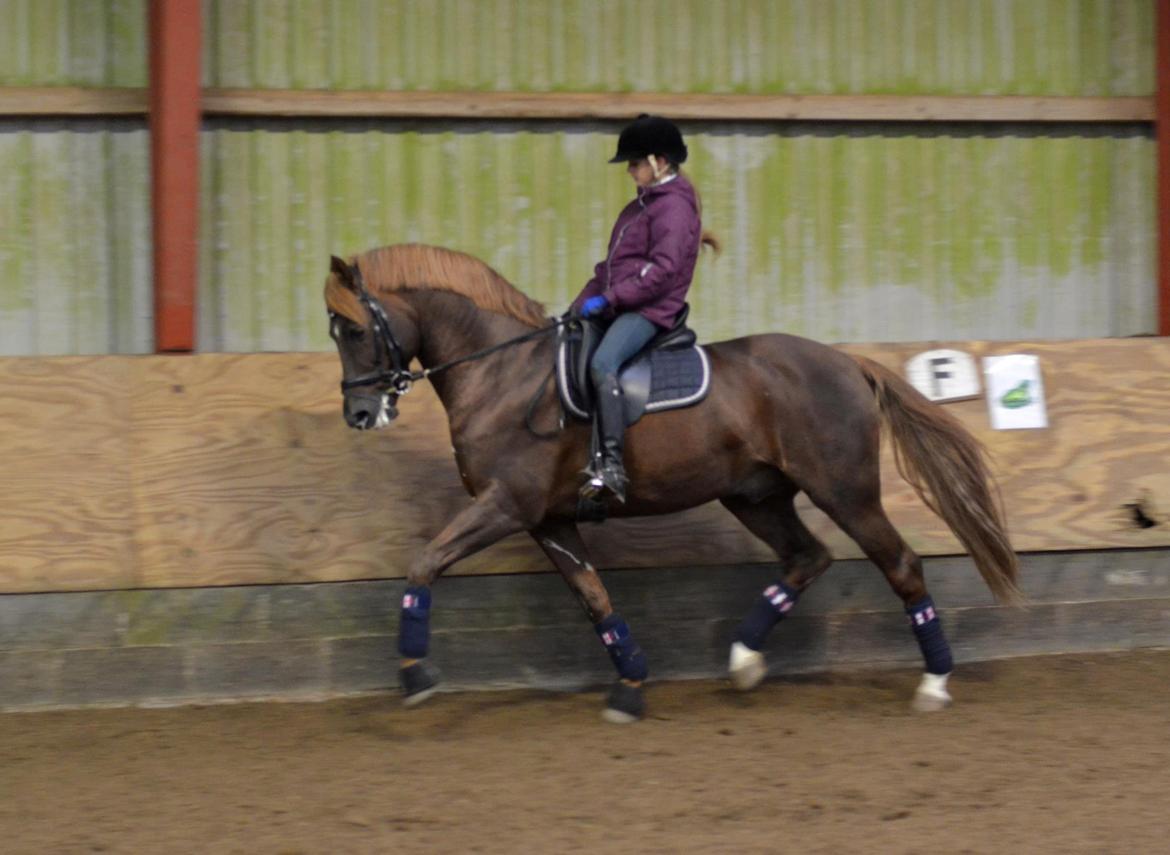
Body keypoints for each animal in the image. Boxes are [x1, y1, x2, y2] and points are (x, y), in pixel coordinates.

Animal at [325, 244, 1020, 725]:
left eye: (355, 329)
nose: (359, 415)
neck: (504, 373)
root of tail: (848, 362)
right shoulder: (550, 519)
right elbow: (595, 599)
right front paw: (630, 686)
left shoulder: (507, 505)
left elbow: (424, 563)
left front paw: (415, 675)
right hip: (755, 496)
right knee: (807, 556)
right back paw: (743, 661)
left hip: (844, 491)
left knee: (899, 563)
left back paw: (933, 683)